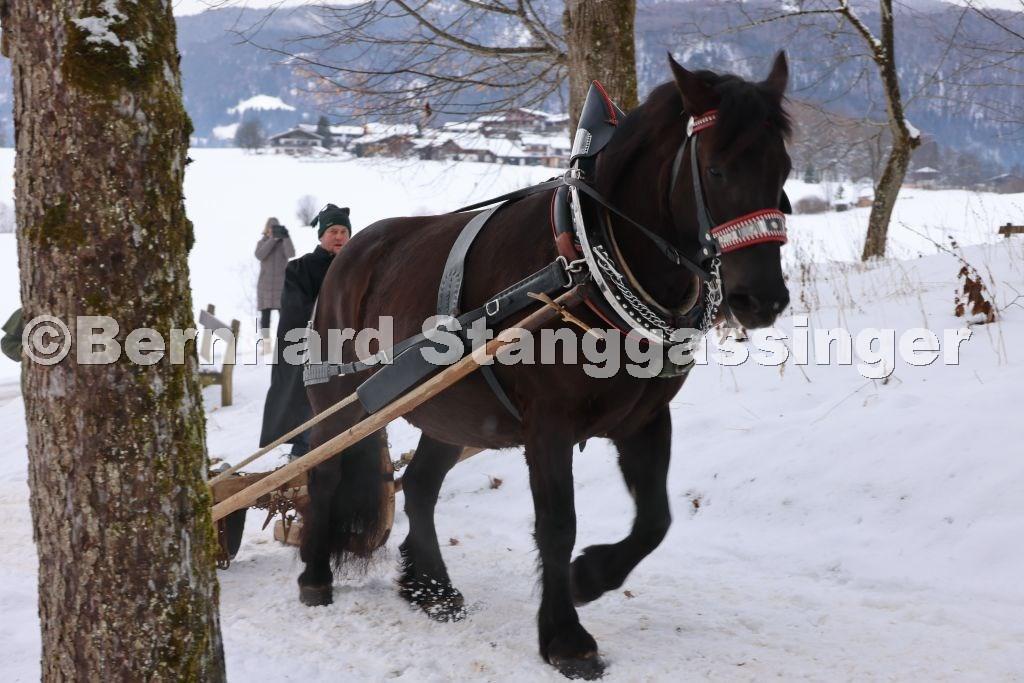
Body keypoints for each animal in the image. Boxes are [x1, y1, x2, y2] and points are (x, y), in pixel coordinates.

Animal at [299, 52, 793, 679]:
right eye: (718, 169)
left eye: (784, 167)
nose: (763, 299)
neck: (584, 261)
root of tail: (349, 253)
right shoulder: (549, 425)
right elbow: (558, 524)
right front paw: (566, 637)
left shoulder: (644, 420)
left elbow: (655, 519)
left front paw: (591, 578)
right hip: (338, 401)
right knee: (324, 473)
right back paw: (315, 577)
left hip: (451, 412)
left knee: (421, 487)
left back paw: (432, 589)